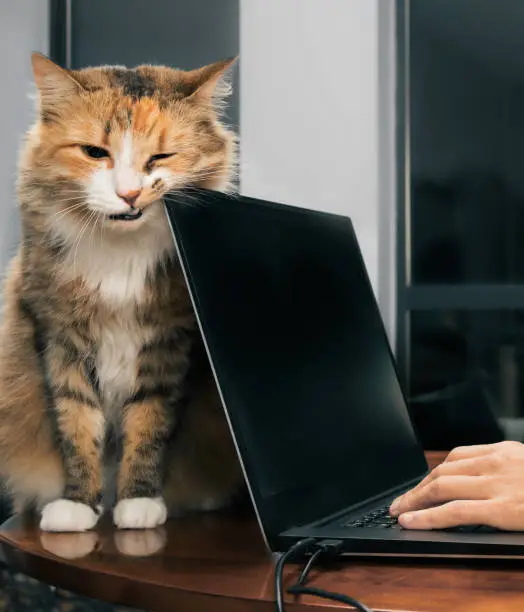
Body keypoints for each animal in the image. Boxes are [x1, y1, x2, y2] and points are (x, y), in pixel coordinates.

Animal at [0, 52, 244, 532]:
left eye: (162, 156)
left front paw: (138, 502)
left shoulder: (169, 342)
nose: (129, 194)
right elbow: (76, 425)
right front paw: (78, 505)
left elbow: (149, 424)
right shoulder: (60, 339)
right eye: (95, 153)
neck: (121, 253)